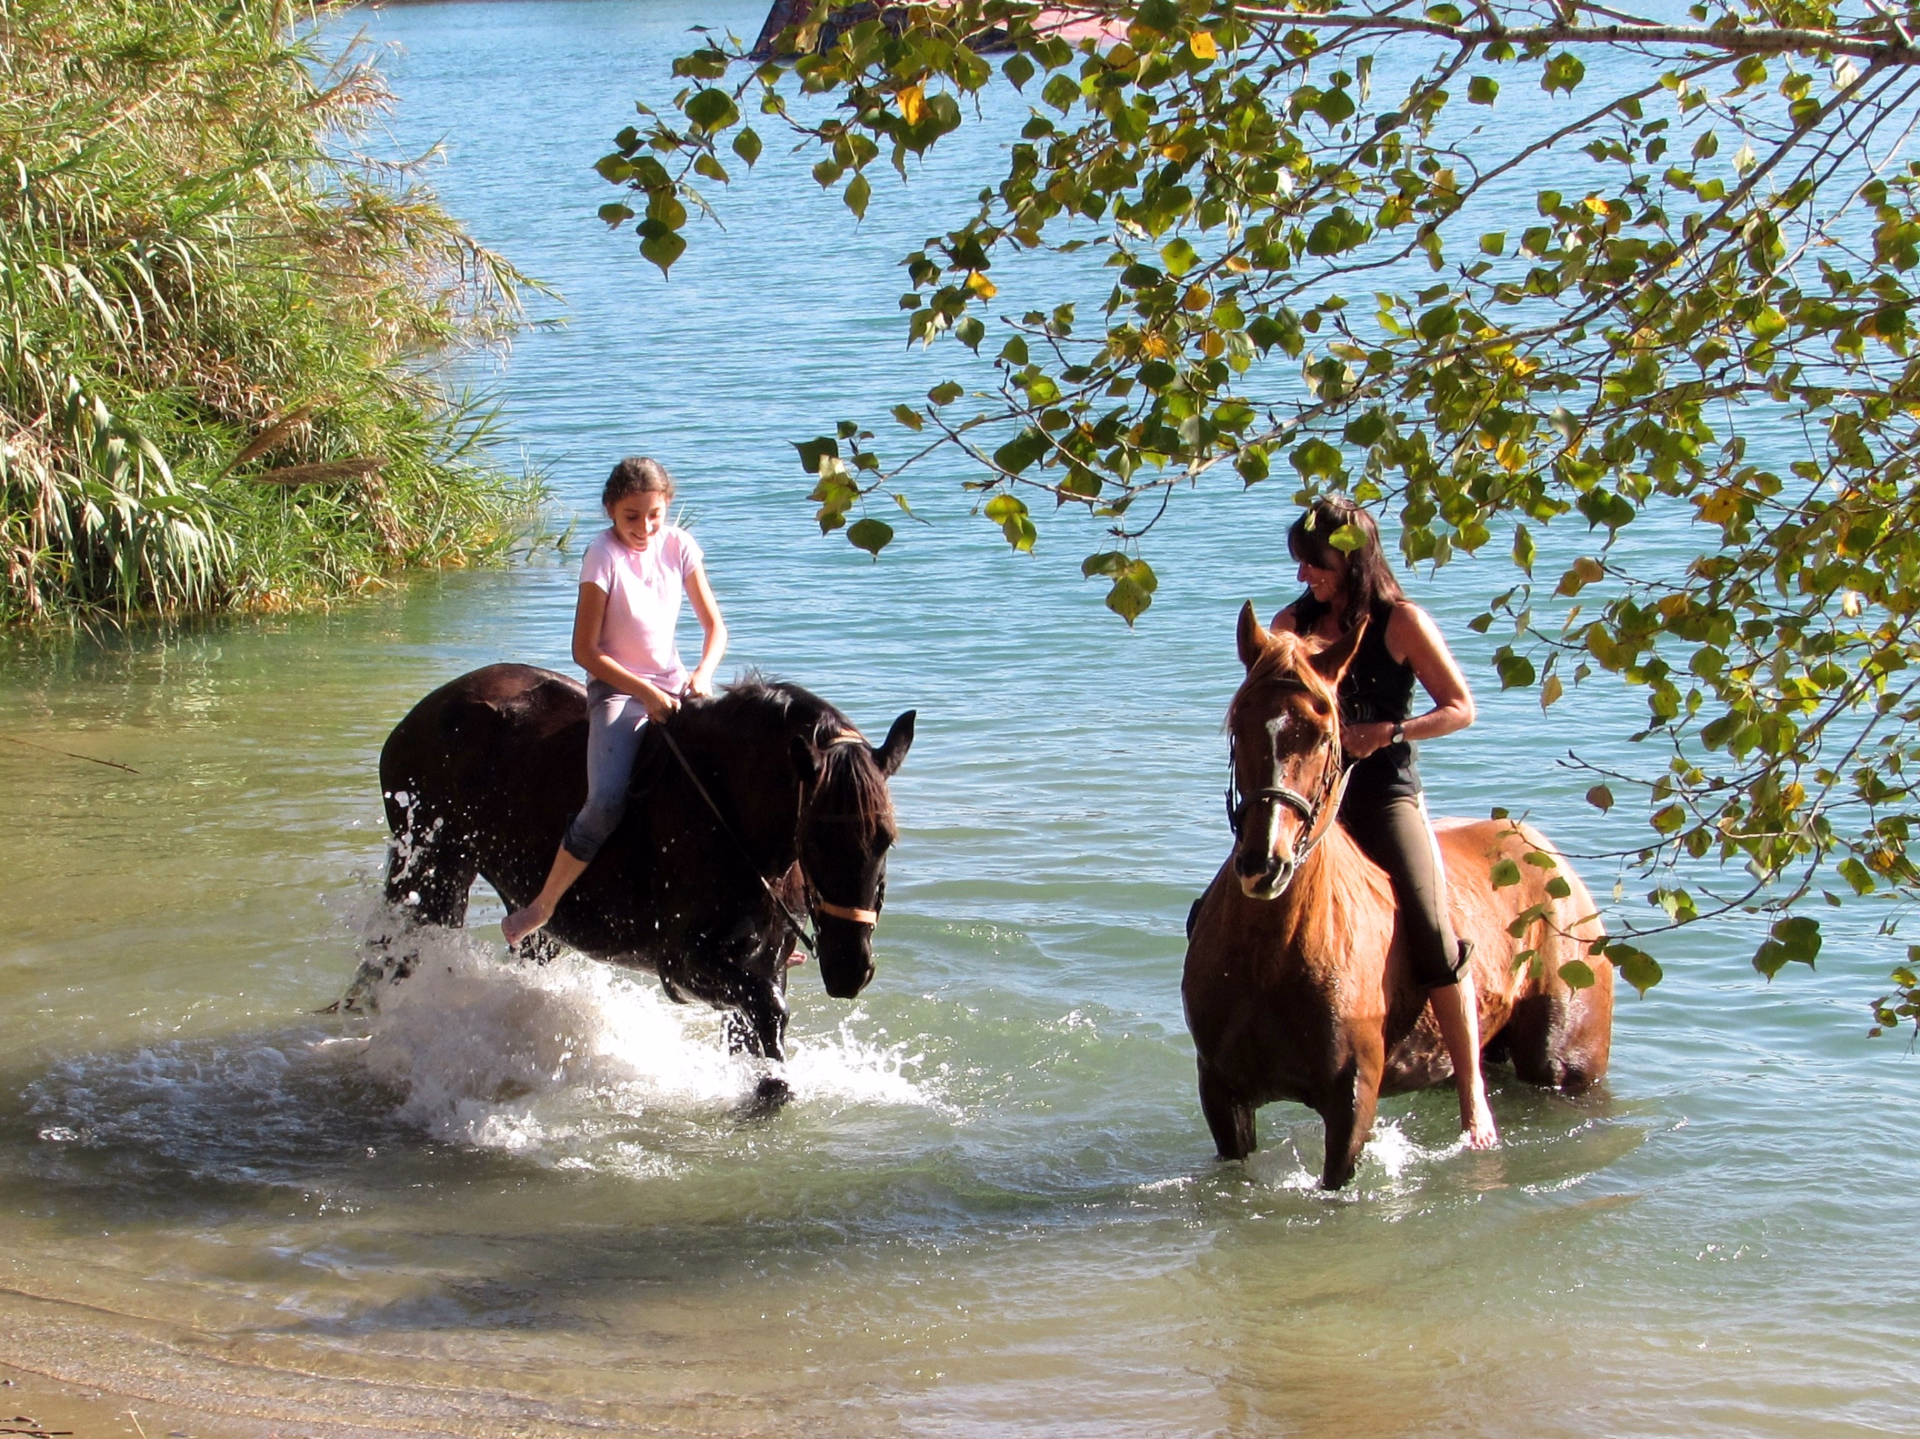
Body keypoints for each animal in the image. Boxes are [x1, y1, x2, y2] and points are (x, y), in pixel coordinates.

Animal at [362, 664, 913, 1106]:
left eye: (885, 838)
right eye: (815, 838)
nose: (850, 969)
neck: (726, 813)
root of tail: (419, 716)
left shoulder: (761, 960)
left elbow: (758, 1029)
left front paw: (764, 1090)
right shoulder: (686, 964)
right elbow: (769, 1012)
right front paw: (772, 1091)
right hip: (431, 871)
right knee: (396, 958)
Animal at [1181, 605, 1613, 1189]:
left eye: (1324, 733)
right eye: (1239, 725)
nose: (1264, 864)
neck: (1269, 957)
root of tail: (1550, 857)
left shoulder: (1352, 1100)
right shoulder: (1223, 1095)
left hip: (1566, 1067)